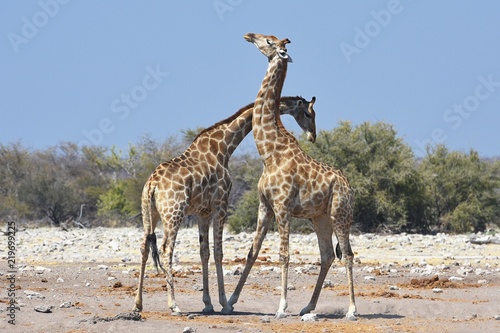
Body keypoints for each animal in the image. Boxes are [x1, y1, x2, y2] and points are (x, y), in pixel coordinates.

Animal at [131, 95, 314, 314]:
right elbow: (219, 252)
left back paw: (138, 303)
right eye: (308, 113)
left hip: (149, 212)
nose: (312, 135)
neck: (223, 148)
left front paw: (208, 303)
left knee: (144, 247)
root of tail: (153, 184)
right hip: (173, 212)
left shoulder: (202, 212)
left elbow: (205, 252)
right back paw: (173, 304)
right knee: (167, 249)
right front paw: (224, 302)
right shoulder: (221, 205)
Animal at [229, 33, 358, 320]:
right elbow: (252, 252)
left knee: (348, 254)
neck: (269, 151)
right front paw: (230, 301)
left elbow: (284, 255)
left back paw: (352, 310)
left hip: (340, 214)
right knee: (327, 255)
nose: (248, 35)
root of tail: (348, 185)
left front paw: (281, 306)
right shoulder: (264, 205)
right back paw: (308, 306)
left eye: (268, 41)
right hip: (319, 217)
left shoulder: (282, 207)